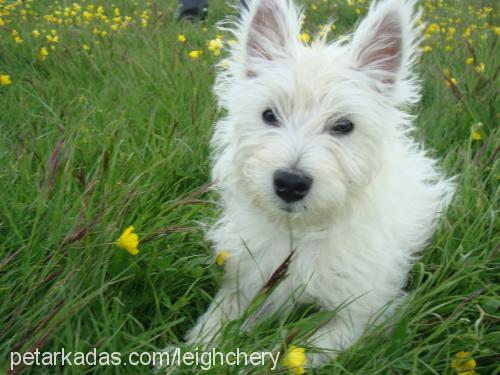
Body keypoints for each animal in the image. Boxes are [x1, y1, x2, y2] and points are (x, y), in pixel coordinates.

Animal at [184, 0, 454, 368]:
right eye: (269, 115)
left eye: (343, 125)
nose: (290, 183)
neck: (302, 232)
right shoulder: (244, 283)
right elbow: (209, 328)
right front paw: (178, 357)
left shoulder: (360, 314)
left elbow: (288, 355)